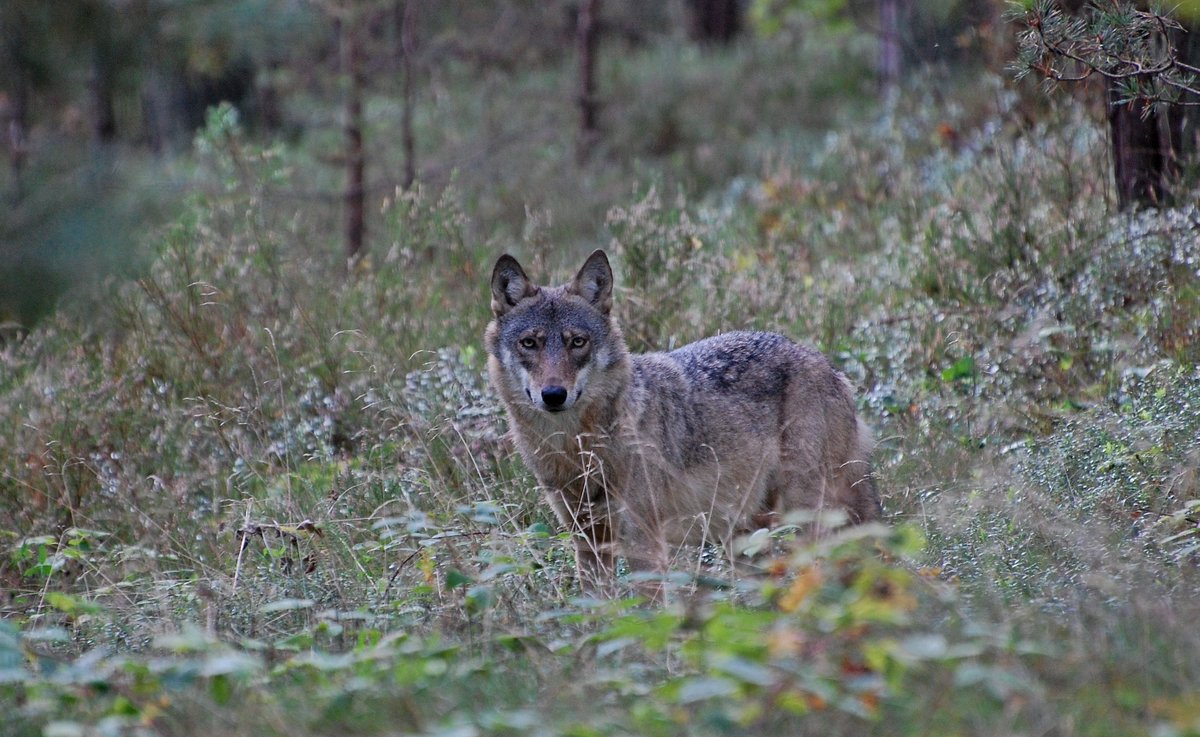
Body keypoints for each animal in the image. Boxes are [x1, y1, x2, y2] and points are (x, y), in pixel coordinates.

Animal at [485, 249, 879, 594]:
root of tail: (827, 364)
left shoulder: (644, 543)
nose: (553, 394)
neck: (577, 449)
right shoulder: (589, 542)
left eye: (577, 342)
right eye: (529, 343)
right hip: (746, 538)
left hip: (806, 516)